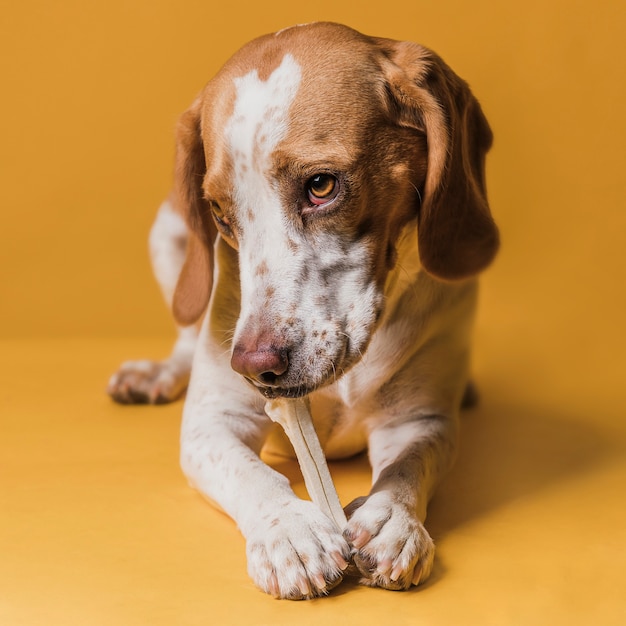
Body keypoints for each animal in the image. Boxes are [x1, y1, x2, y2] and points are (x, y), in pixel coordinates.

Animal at [107, 23, 498, 600]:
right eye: (219, 213)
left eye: (321, 186)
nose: (253, 365)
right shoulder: (211, 425)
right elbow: (252, 474)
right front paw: (288, 530)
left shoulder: (419, 421)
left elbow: (408, 469)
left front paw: (393, 520)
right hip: (168, 231)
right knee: (184, 335)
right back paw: (157, 374)